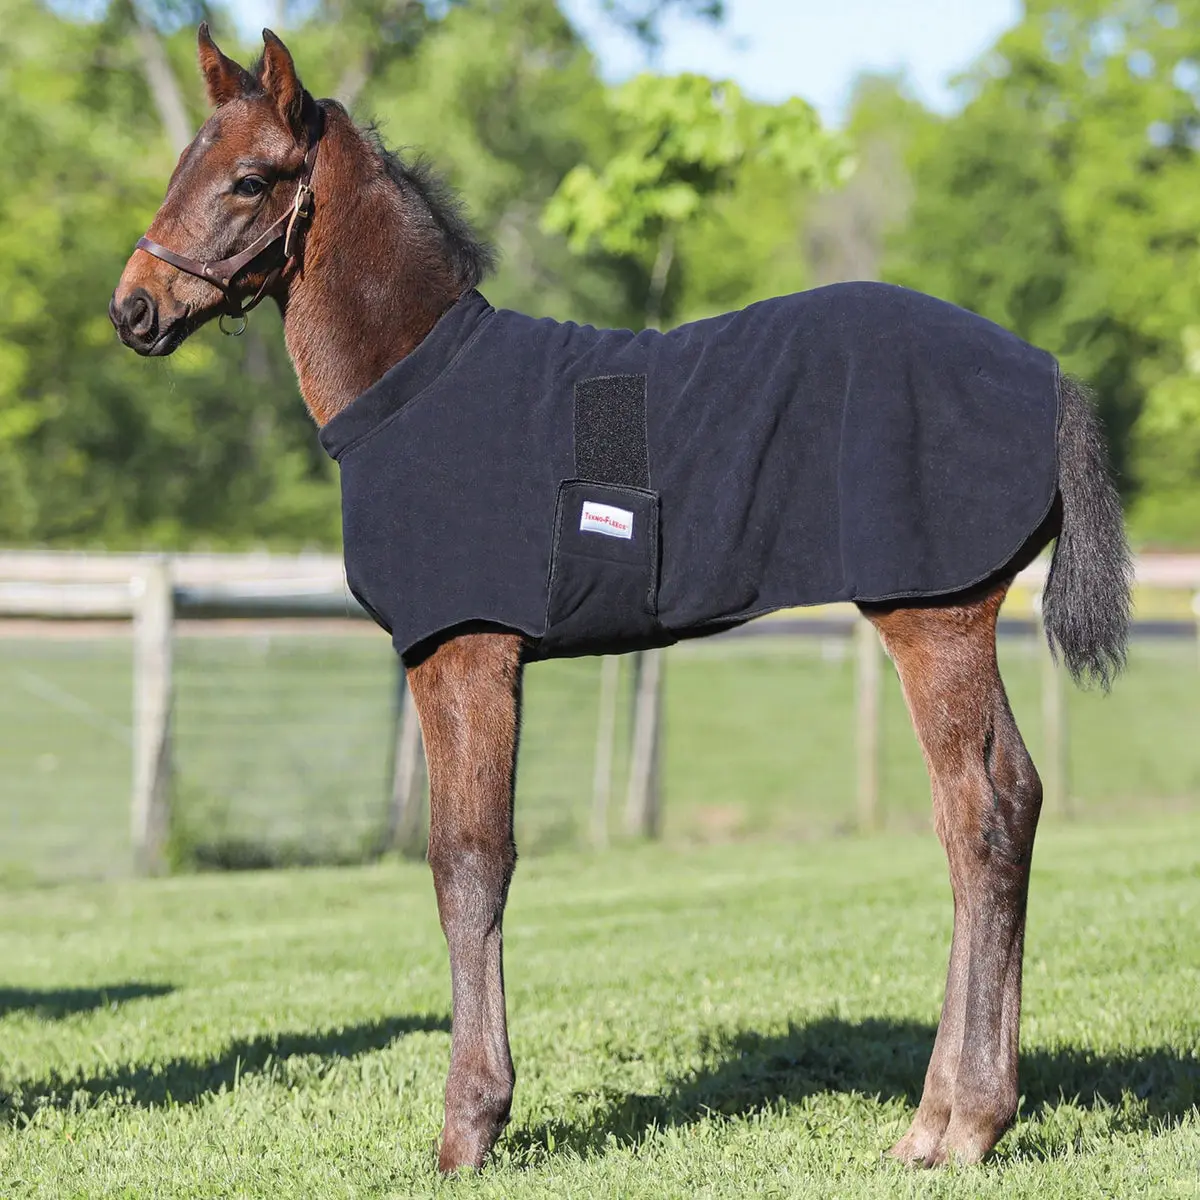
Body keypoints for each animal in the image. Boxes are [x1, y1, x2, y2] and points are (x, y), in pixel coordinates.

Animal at [110, 26, 1132, 1174]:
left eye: (249, 179)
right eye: (181, 167)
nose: (132, 309)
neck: (417, 387)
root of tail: (1048, 377)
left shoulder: (466, 650)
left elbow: (469, 862)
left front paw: (470, 1127)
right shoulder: (449, 655)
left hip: (933, 615)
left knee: (980, 816)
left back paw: (957, 1123)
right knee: (1015, 799)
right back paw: (956, 1117)